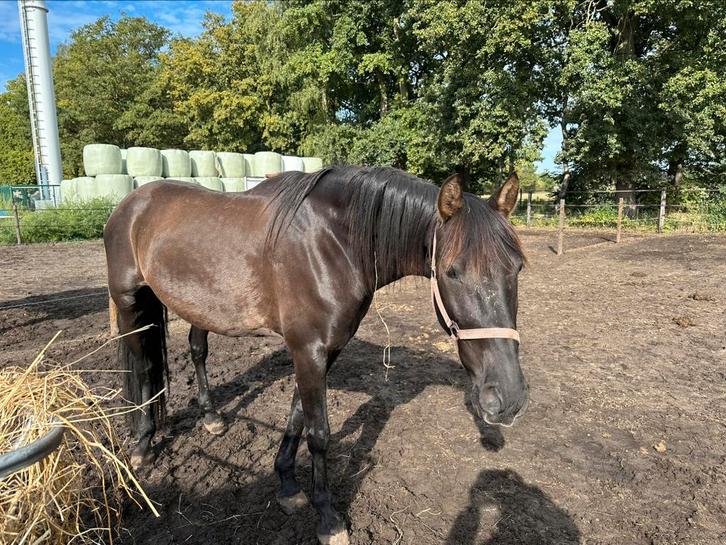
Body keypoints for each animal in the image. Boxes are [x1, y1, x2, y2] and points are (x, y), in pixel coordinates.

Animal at [103, 166, 528, 545]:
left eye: (517, 268)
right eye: (453, 271)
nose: (509, 399)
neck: (335, 243)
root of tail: (131, 202)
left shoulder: (323, 349)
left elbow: (297, 418)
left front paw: (289, 486)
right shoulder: (308, 349)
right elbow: (320, 433)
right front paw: (328, 517)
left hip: (197, 306)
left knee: (197, 350)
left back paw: (210, 418)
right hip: (129, 301)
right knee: (143, 366)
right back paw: (142, 447)